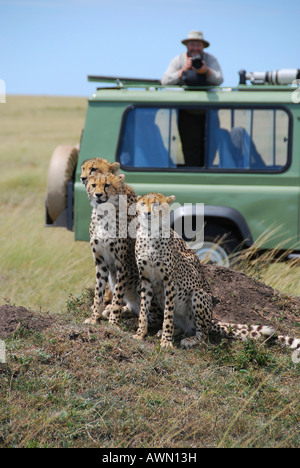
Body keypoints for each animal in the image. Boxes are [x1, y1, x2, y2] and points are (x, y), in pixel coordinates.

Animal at [134, 191, 300, 352]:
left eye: (156, 204)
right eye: (142, 204)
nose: (147, 213)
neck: (150, 233)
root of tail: (211, 319)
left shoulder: (169, 282)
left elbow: (167, 315)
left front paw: (166, 342)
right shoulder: (145, 279)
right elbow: (143, 309)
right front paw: (140, 333)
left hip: (199, 295)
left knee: (203, 333)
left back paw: (189, 340)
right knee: (184, 328)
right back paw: (169, 331)